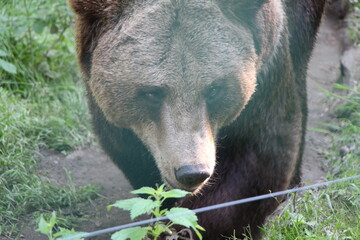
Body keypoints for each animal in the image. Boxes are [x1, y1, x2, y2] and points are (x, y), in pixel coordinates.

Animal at [68, 0, 326, 239]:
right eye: (152, 93)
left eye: (214, 89)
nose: (191, 172)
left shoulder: (266, 75)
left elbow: (258, 158)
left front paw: (186, 227)